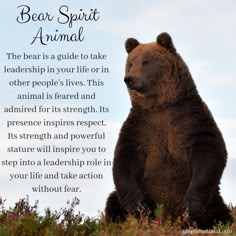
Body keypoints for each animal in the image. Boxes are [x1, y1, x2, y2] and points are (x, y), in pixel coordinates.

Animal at [105, 32, 234, 228]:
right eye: (131, 62)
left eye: (146, 61)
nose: (129, 79)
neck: (160, 105)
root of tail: (168, 219)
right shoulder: (140, 127)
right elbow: (124, 159)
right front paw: (139, 208)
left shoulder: (190, 119)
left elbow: (210, 151)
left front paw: (190, 206)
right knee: (112, 201)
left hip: (214, 200)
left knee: (220, 213)